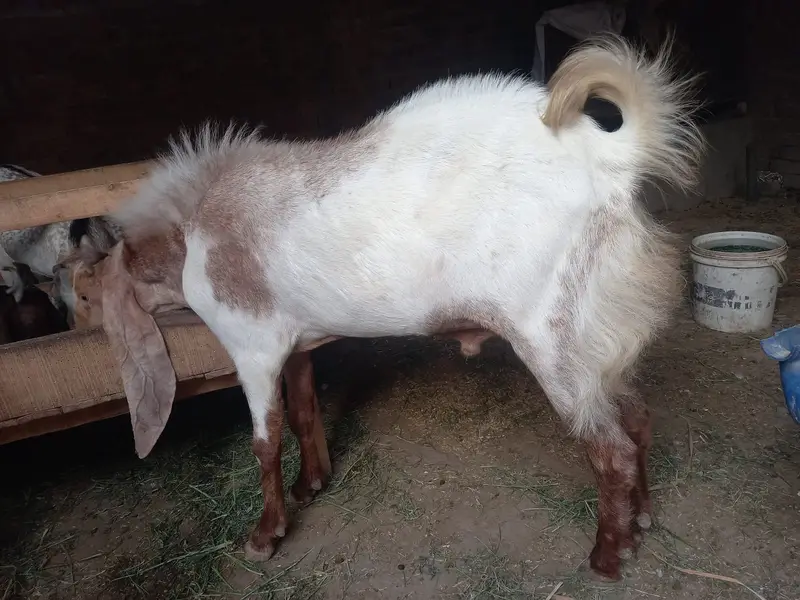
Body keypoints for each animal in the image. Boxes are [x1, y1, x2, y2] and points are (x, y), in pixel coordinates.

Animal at [63, 35, 704, 580]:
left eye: (84, 294)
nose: (74, 325)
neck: (192, 232)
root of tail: (612, 159)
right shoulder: (297, 342)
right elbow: (304, 413)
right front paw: (311, 486)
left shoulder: (253, 344)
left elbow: (265, 440)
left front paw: (265, 535)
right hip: (601, 336)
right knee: (638, 421)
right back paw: (640, 523)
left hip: (554, 337)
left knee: (611, 450)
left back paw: (606, 557)